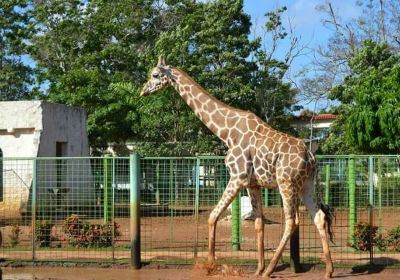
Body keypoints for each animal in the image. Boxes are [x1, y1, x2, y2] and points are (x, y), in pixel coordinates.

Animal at [141, 56, 334, 278]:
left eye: (155, 74)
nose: (143, 91)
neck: (226, 133)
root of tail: (311, 157)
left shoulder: (237, 177)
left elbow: (212, 216)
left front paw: (211, 264)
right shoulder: (253, 184)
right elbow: (258, 223)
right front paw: (257, 268)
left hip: (287, 183)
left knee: (292, 221)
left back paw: (271, 269)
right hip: (306, 184)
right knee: (318, 217)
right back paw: (328, 270)